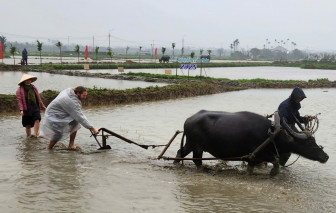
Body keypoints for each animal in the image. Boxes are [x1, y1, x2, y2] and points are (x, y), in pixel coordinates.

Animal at [176, 110, 328, 176]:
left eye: (314, 140)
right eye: (308, 142)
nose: (325, 157)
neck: (271, 134)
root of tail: (188, 119)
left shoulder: (253, 158)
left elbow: (251, 168)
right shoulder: (260, 154)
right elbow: (275, 161)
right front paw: (273, 172)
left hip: (190, 143)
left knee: (180, 152)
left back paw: (176, 163)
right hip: (197, 146)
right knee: (196, 159)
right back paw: (204, 169)